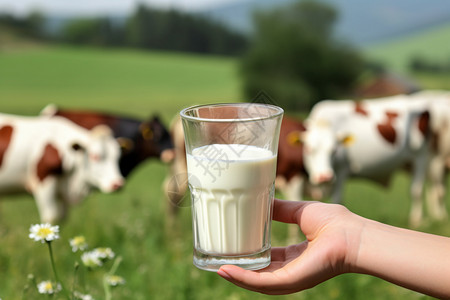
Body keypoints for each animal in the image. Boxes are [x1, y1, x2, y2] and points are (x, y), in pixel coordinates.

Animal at [300, 95, 430, 226]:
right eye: (308, 149)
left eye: (334, 150)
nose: (324, 177)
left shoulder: (342, 170)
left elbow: (337, 199)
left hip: (421, 156)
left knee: (416, 189)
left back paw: (416, 220)